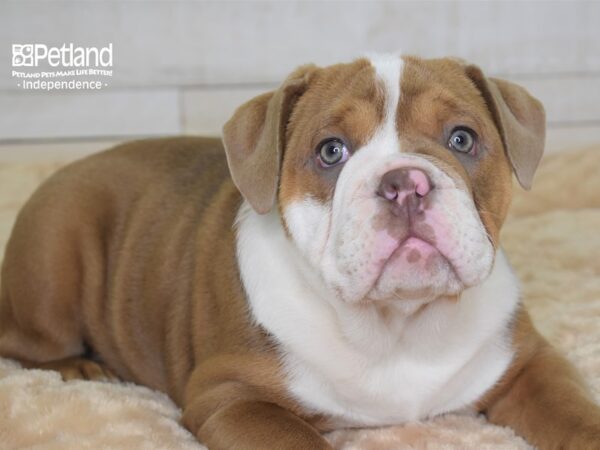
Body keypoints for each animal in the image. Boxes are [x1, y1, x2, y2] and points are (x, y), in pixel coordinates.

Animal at [1, 54, 600, 448]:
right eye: (331, 151)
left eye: (461, 139)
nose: (405, 183)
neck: (397, 325)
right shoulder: (233, 397)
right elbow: (298, 442)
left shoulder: (529, 364)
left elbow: (574, 412)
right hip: (54, 263)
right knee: (22, 340)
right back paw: (80, 367)